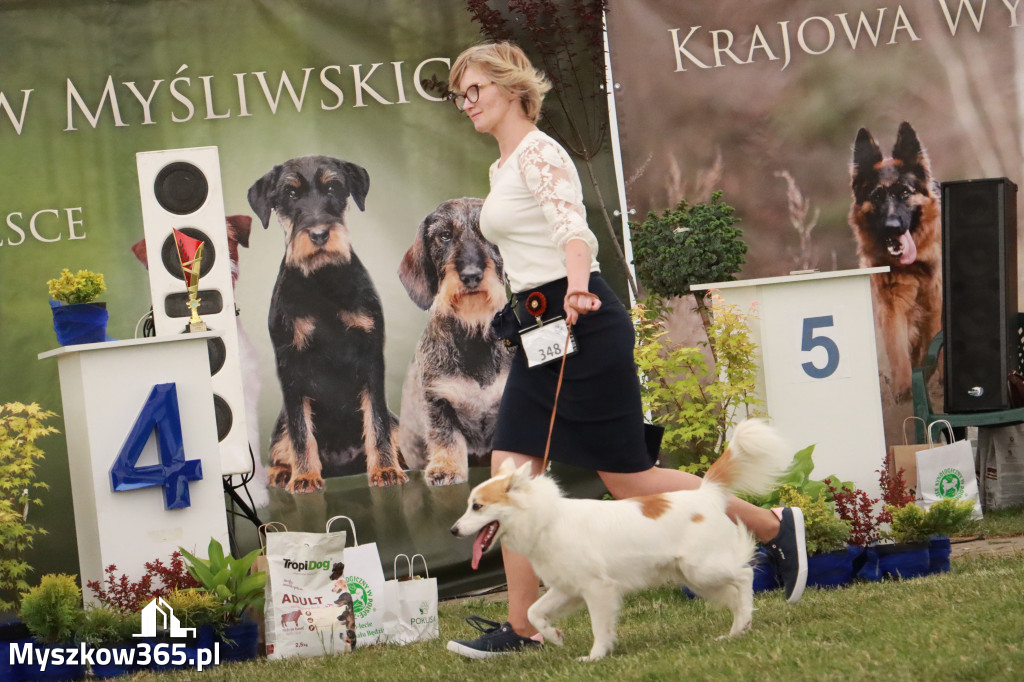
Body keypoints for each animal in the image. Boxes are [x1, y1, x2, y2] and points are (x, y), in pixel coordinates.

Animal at [448, 417, 790, 659]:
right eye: (468, 505)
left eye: (477, 506)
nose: (452, 531)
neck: (548, 520)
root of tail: (706, 493)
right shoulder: (567, 588)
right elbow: (534, 611)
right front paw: (554, 636)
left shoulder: (597, 589)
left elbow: (599, 626)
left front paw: (595, 656)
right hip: (699, 580)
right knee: (734, 595)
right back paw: (738, 630)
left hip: (703, 570)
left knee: (744, 576)